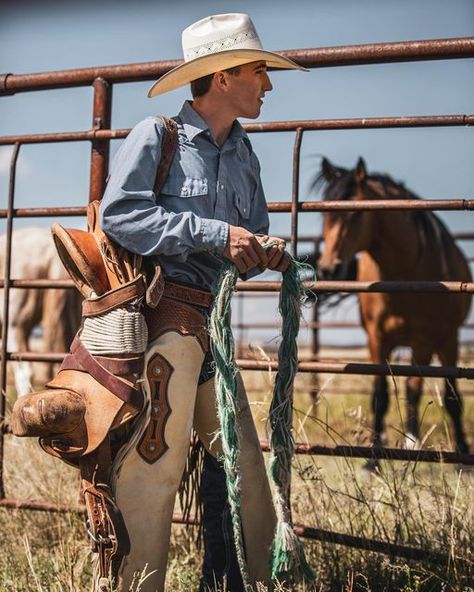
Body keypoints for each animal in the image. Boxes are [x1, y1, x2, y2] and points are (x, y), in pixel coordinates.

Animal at [312, 158, 472, 462]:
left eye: (356, 214)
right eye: (323, 215)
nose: (329, 268)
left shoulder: (438, 340)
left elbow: (448, 397)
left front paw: (462, 453)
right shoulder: (377, 340)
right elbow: (380, 397)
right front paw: (372, 459)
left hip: (434, 344)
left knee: (425, 391)